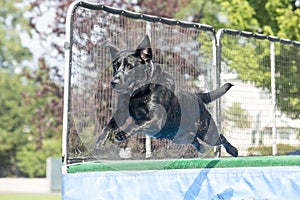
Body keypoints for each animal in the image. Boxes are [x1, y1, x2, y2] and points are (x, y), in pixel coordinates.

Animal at [95, 35, 238, 157]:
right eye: (115, 66)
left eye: (130, 66)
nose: (113, 82)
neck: (140, 92)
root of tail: (197, 96)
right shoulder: (122, 112)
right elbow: (109, 125)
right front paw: (100, 141)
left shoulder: (156, 118)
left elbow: (136, 123)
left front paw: (123, 133)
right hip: (178, 137)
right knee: (193, 139)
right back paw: (201, 148)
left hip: (207, 133)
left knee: (220, 138)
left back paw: (233, 150)